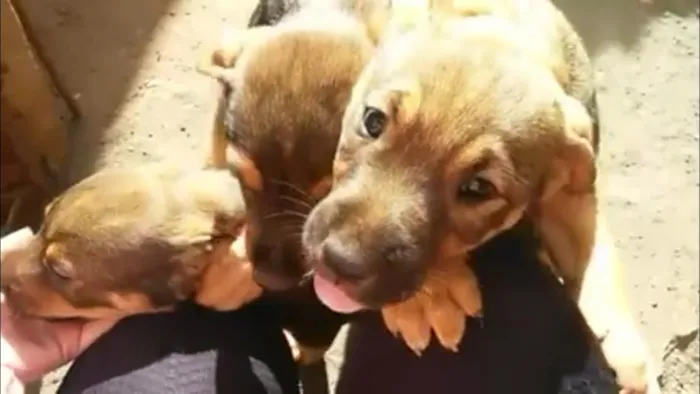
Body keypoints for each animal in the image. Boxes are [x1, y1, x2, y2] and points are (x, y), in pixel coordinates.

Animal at [304, 7, 652, 392]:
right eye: (373, 121)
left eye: (478, 189)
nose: (339, 262)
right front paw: (431, 300)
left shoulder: (570, 194)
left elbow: (596, 262)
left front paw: (628, 358)